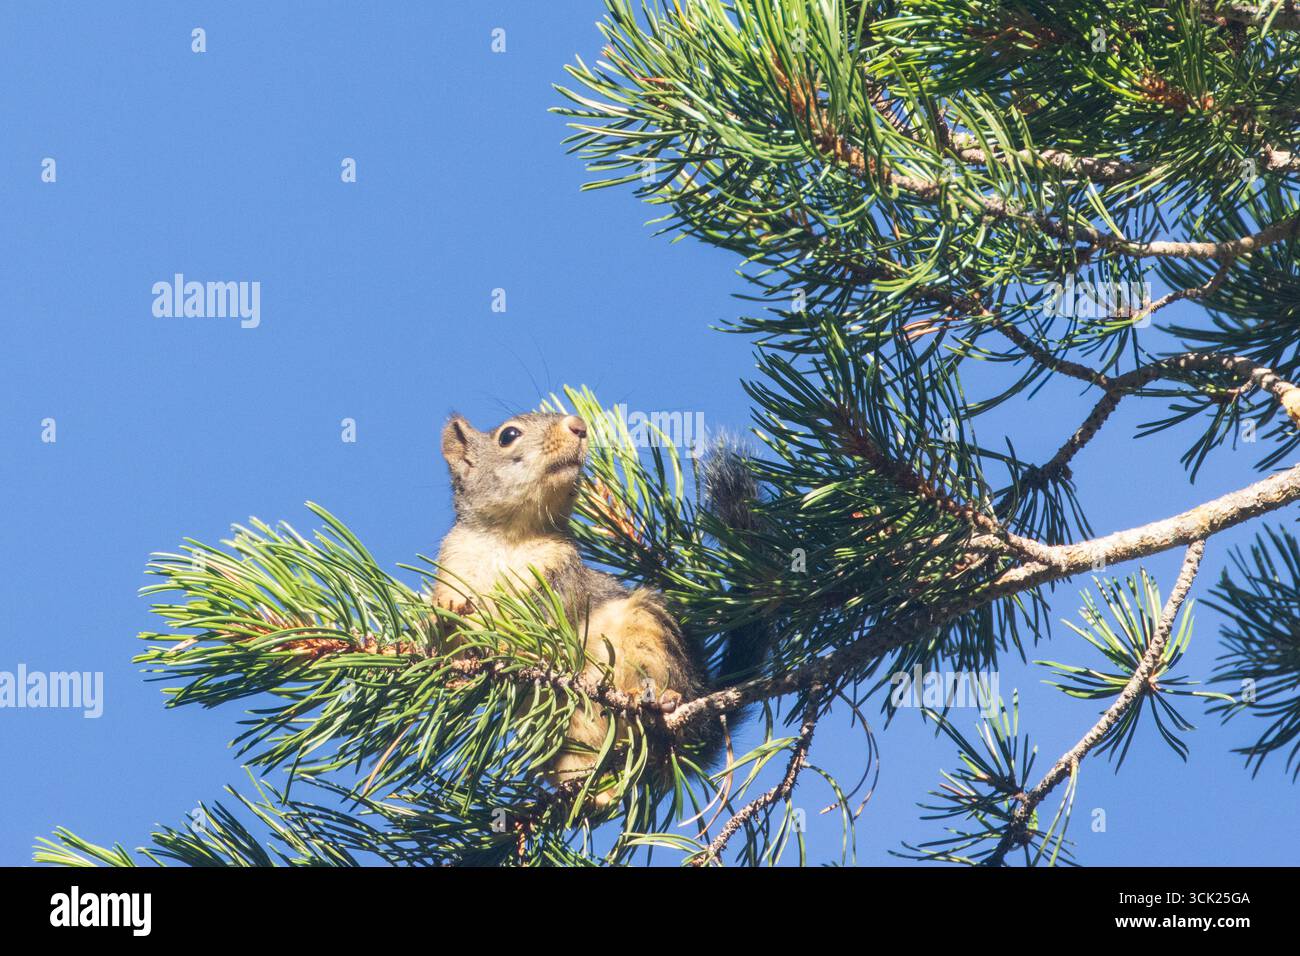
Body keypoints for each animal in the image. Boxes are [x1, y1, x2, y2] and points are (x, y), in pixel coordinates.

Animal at [433, 411, 707, 804]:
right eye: (508, 436)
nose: (578, 425)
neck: (510, 537)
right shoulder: (453, 562)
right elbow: (446, 644)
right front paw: (447, 609)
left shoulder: (562, 577)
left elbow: (544, 621)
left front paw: (512, 645)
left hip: (650, 632)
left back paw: (660, 700)